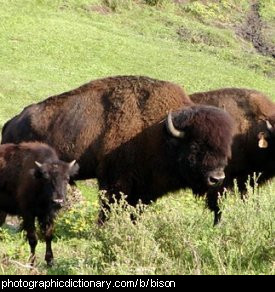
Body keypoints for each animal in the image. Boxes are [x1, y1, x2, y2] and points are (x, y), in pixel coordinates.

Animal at [1, 76, 235, 224]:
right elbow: (107, 208)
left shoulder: (144, 188)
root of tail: (11, 123)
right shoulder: (114, 180)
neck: (158, 131)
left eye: (225, 150)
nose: (217, 178)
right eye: (195, 146)